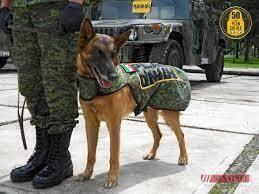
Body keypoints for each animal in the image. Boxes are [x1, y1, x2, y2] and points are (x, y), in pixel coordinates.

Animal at [75, 18, 191, 188]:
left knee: (180, 134)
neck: (95, 88)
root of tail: (174, 69)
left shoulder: (114, 124)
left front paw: (112, 178)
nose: (113, 77)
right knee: (158, 134)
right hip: (149, 115)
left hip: (169, 114)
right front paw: (87, 174)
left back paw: (183, 158)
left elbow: (113, 155)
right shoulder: (90, 124)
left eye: (113, 54)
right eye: (98, 53)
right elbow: (91, 153)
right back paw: (152, 154)